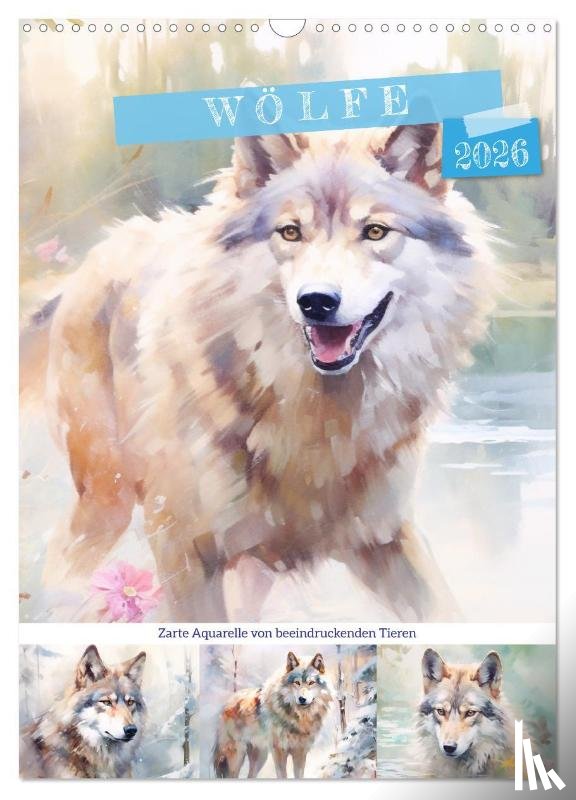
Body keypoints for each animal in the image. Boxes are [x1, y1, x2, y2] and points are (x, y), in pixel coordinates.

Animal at [25, 123, 493, 621]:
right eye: (290, 232)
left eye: (375, 231)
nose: (317, 301)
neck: (313, 423)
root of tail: (89, 263)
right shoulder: (182, 549)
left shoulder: (383, 536)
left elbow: (445, 613)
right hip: (106, 501)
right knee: (61, 566)